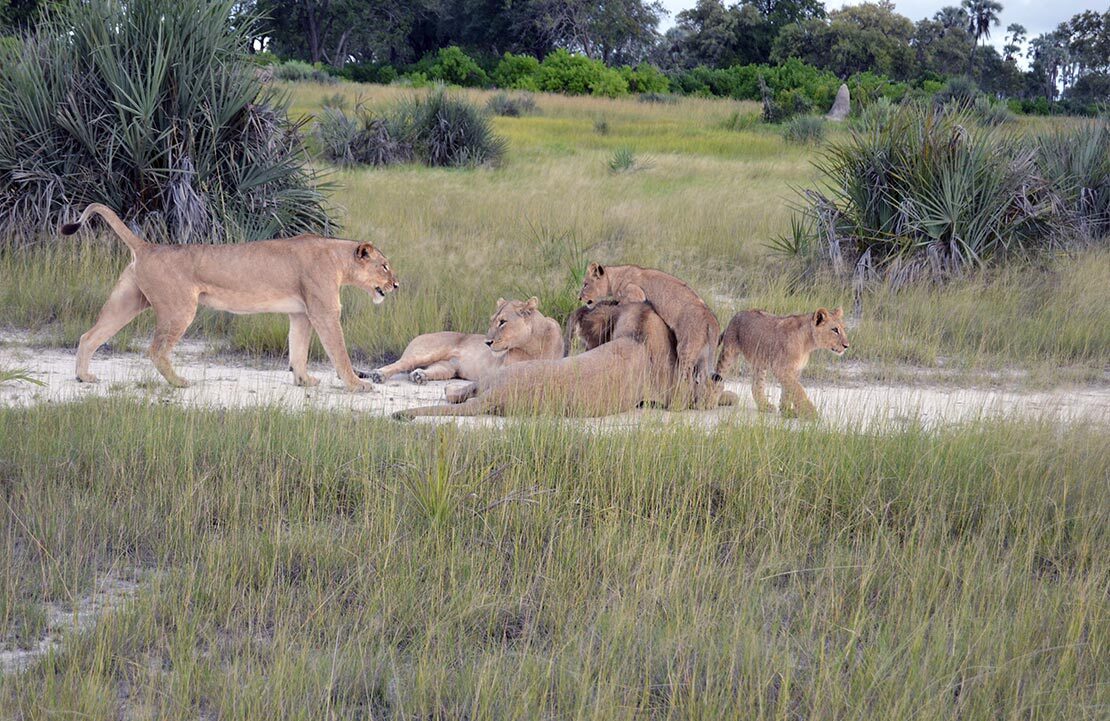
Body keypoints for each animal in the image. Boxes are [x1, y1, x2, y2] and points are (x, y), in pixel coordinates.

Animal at [61, 204, 399, 388]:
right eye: (384, 265)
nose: (397, 284)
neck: (337, 258)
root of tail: (147, 246)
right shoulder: (325, 311)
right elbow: (339, 352)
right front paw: (357, 384)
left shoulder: (301, 314)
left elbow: (298, 350)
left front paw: (304, 381)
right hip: (179, 308)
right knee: (156, 350)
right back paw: (179, 382)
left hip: (128, 301)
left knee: (89, 336)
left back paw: (83, 377)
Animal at [372, 297, 563, 383]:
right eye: (492, 320)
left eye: (502, 322)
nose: (487, 342)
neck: (533, 344)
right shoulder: (501, 369)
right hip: (425, 353)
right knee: (400, 363)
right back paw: (378, 375)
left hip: (448, 368)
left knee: (432, 370)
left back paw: (420, 376)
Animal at [577, 260, 723, 408]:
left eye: (586, 284)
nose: (579, 298)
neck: (616, 276)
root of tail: (711, 319)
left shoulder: (636, 293)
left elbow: (621, 303)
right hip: (704, 355)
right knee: (708, 379)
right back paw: (704, 404)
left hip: (686, 349)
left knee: (687, 377)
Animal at [714, 303, 852, 414]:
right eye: (834, 330)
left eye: (844, 328)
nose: (847, 346)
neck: (808, 344)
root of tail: (736, 314)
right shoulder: (781, 368)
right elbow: (798, 389)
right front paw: (810, 412)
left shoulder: (795, 369)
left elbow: (789, 390)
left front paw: (786, 410)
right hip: (729, 352)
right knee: (718, 375)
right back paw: (711, 401)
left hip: (760, 362)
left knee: (756, 386)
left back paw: (765, 406)